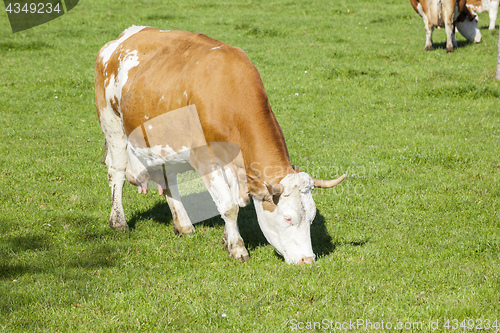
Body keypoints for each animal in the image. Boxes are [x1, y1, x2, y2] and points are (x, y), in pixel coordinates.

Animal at [94, 26, 346, 264]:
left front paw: (228, 239)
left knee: (168, 179)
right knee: (116, 172)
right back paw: (119, 222)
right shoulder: (205, 159)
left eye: (311, 217)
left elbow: (235, 202)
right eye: (287, 217)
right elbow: (229, 206)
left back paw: (183, 224)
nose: (308, 260)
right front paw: (238, 248)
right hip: (112, 124)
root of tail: (122, 38)